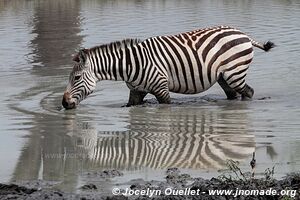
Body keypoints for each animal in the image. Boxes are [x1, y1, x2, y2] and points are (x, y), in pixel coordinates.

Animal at [62, 25, 274, 109]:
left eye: (77, 78)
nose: (64, 104)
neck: (130, 65)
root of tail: (243, 34)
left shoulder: (161, 89)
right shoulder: (137, 91)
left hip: (235, 73)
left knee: (248, 92)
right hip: (224, 78)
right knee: (234, 95)